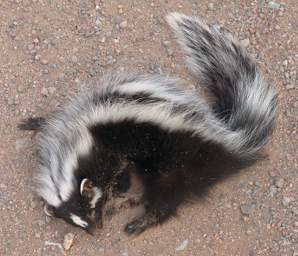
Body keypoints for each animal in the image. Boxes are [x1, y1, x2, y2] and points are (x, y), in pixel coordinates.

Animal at [19, 13, 278, 234]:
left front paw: (120, 189)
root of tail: (229, 140)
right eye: (76, 222)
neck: (74, 132)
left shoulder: (109, 145)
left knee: (165, 197)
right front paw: (34, 122)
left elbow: (120, 169)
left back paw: (139, 222)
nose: (96, 231)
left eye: (92, 208)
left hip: (179, 164)